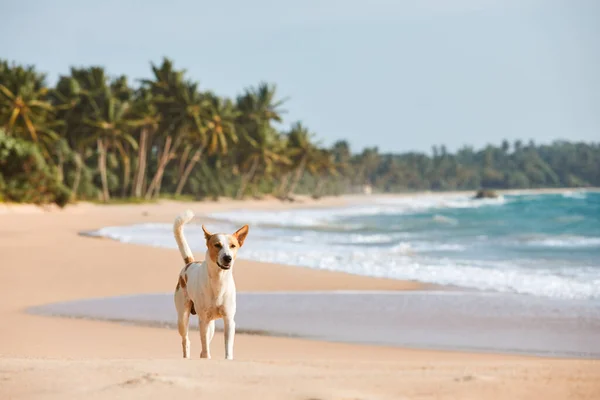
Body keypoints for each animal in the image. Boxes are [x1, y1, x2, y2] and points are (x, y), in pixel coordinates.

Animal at [173, 209, 248, 360]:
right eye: (217, 245)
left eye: (233, 246)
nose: (227, 258)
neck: (219, 281)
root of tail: (190, 263)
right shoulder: (203, 320)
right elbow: (205, 346)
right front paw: (206, 357)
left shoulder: (229, 319)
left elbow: (227, 346)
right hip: (183, 317)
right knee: (186, 340)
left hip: (211, 324)